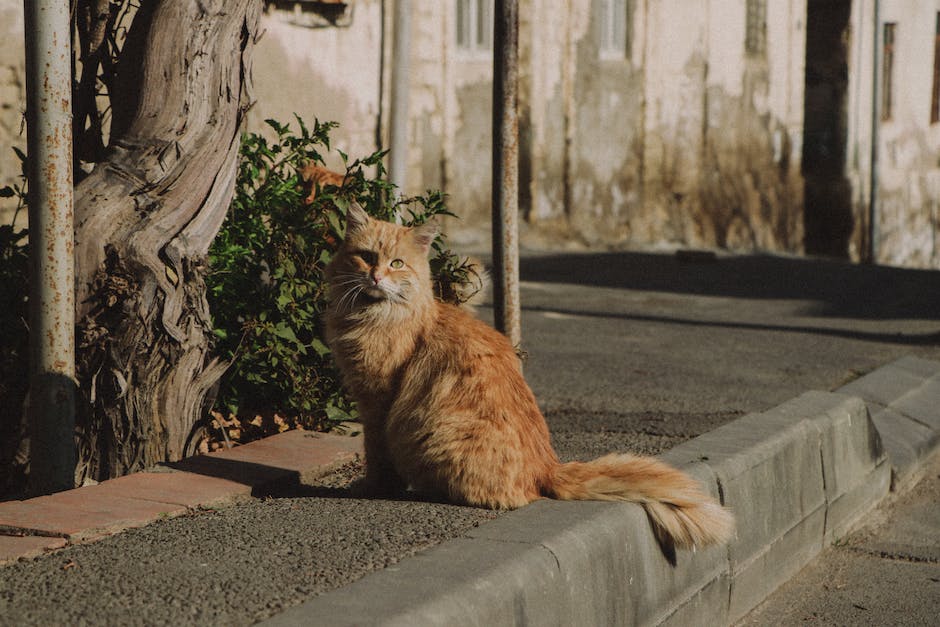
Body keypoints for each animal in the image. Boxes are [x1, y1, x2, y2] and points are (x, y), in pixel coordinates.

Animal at [324, 204, 736, 552]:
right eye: (366, 256)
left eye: (396, 263)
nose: (376, 275)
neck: (372, 315)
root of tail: (549, 467)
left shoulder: (377, 403)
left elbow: (377, 454)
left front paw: (371, 487)